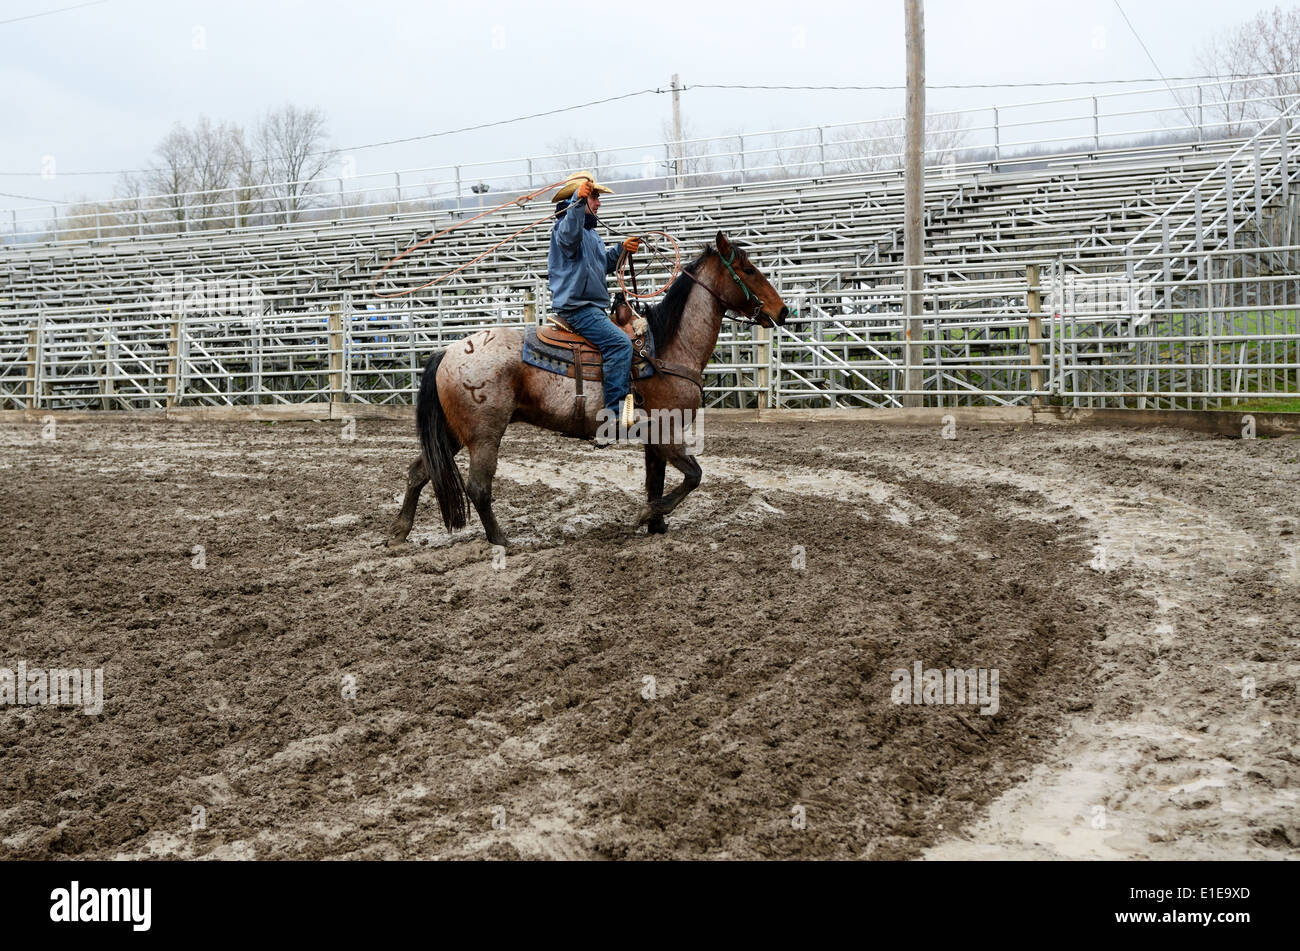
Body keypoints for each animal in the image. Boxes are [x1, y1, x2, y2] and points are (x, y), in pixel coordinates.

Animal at [384, 228, 785, 550]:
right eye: (748, 270)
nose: (781, 312)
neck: (668, 348)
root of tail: (449, 351)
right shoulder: (666, 432)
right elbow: (693, 476)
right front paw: (646, 516)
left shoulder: (653, 438)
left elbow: (656, 481)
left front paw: (656, 525)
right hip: (484, 434)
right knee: (478, 486)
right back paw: (501, 541)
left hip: (454, 431)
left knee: (419, 471)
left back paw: (399, 532)